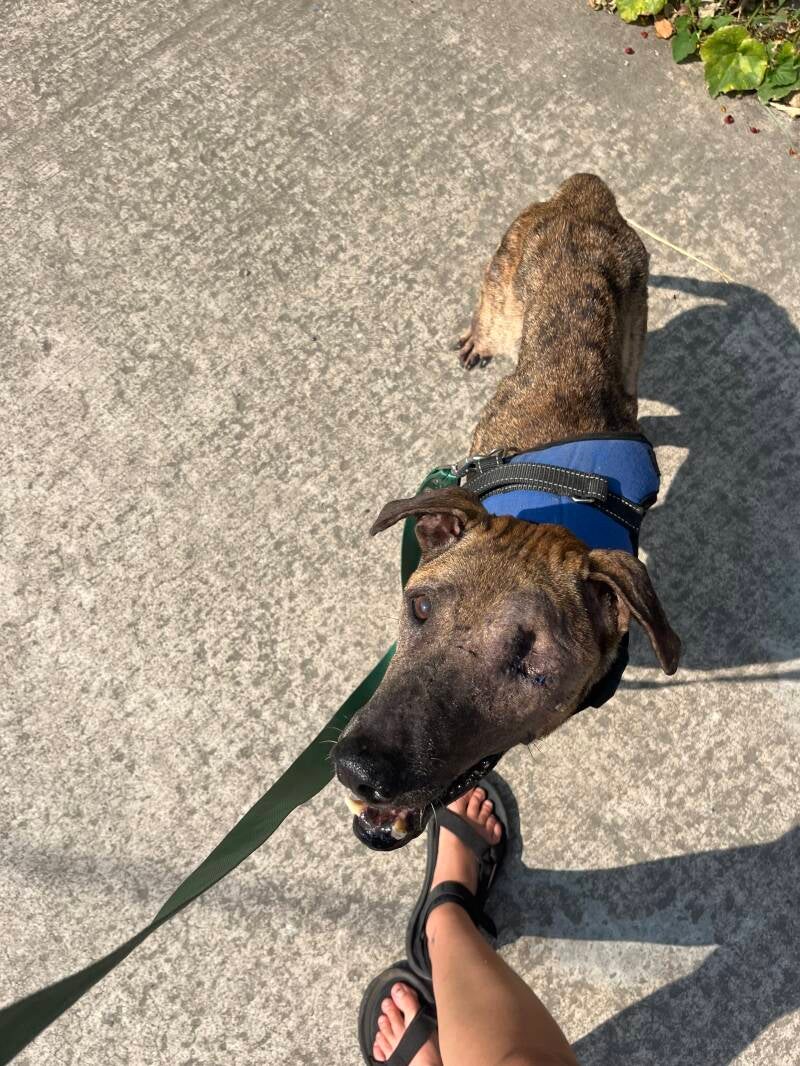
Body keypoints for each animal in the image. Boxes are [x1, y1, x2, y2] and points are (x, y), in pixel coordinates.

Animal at [332, 174, 680, 850]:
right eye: (419, 607)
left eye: (535, 664)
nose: (360, 769)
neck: (557, 512)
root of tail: (583, 195)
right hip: (502, 297)